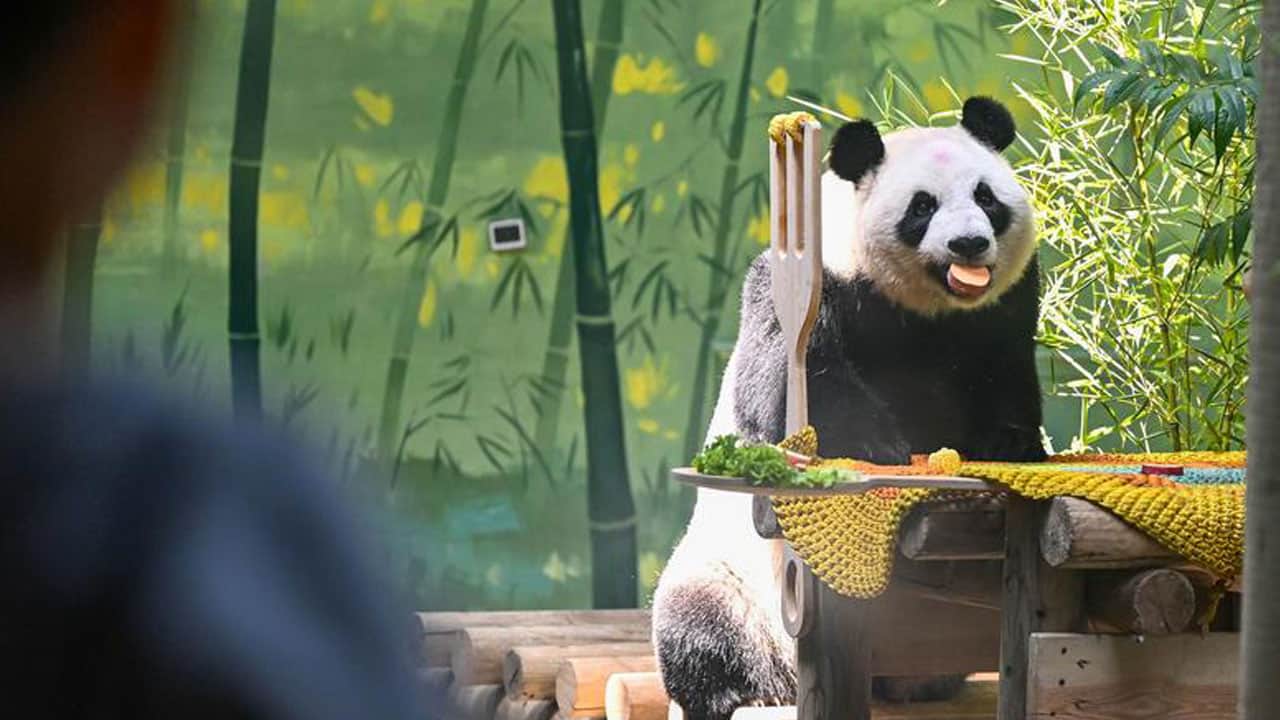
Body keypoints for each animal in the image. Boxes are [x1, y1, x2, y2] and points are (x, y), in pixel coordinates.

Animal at [652, 97, 1046, 720]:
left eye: (986, 197)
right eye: (922, 207)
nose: (969, 245)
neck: (925, 306)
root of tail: (786, 675)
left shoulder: (1003, 306)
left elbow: (1006, 374)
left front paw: (1007, 444)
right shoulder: (820, 283)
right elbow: (790, 383)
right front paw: (875, 445)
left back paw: (921, 684)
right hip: (726, 576)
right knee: (696, 626)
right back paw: (726, 691)